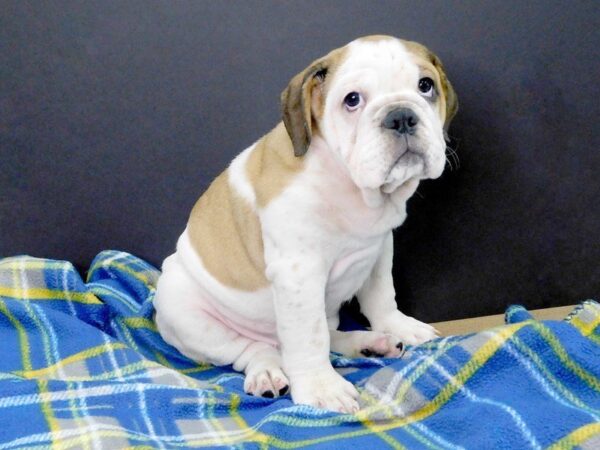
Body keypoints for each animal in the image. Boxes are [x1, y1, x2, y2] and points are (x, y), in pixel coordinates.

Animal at [152, 35, 458, 414]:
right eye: (352, 100)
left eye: (425, 86)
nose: (401, 115)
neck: (349, 184)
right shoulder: (298, 273)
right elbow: (308, 338)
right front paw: (321, 388)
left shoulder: (379, 247)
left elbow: (381, 295)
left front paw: (397, 326)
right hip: (185, 311)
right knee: (256, 349)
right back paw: (267, 373)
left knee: (327, 332)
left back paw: (371, 342)